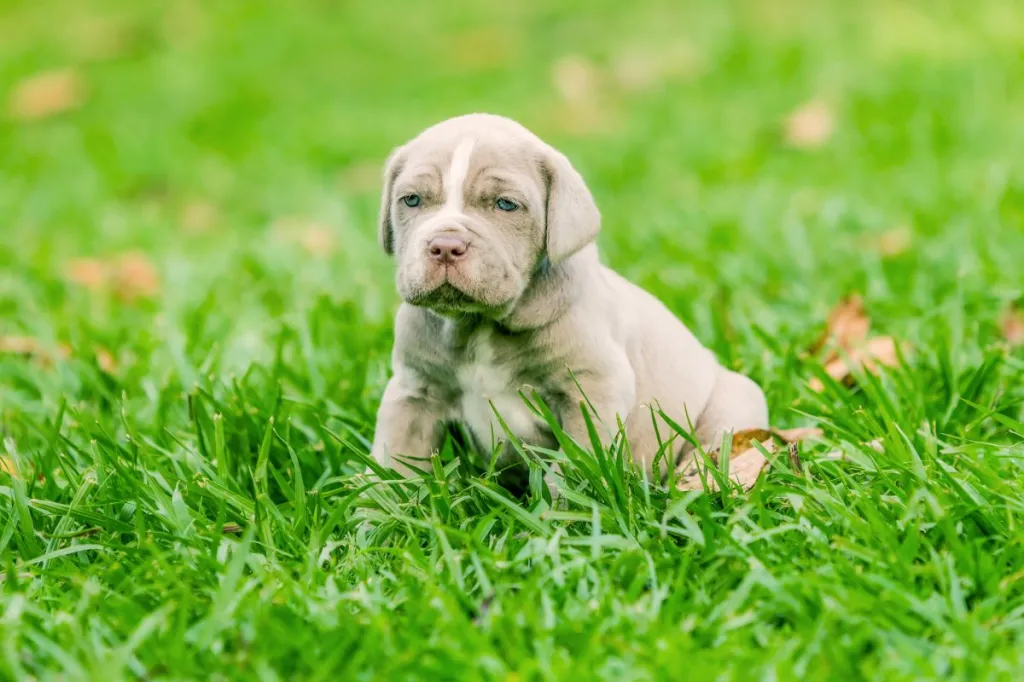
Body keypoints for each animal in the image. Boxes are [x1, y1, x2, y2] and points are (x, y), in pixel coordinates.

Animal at [372, 112, 765, 483]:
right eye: (411, 200)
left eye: (505, 204)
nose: (445, 246)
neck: (478, 325)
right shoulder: (413, 392)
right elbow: (395, 462)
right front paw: (382, 506)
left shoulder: (591, 389)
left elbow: (576, 465)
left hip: (733, 404)